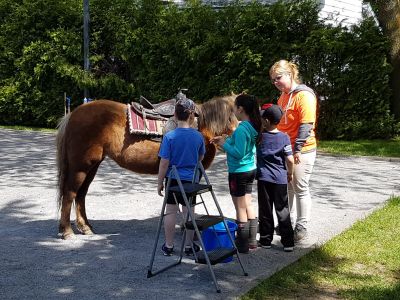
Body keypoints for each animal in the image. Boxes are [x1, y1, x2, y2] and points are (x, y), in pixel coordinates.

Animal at [56, 97, 238, 240]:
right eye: (232, 117)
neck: (200, 126)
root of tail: (73, 114)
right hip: (80, 166)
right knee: (70, 193)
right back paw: (67, 231)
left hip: (92, 166)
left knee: (81, 194)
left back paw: (85, 227)